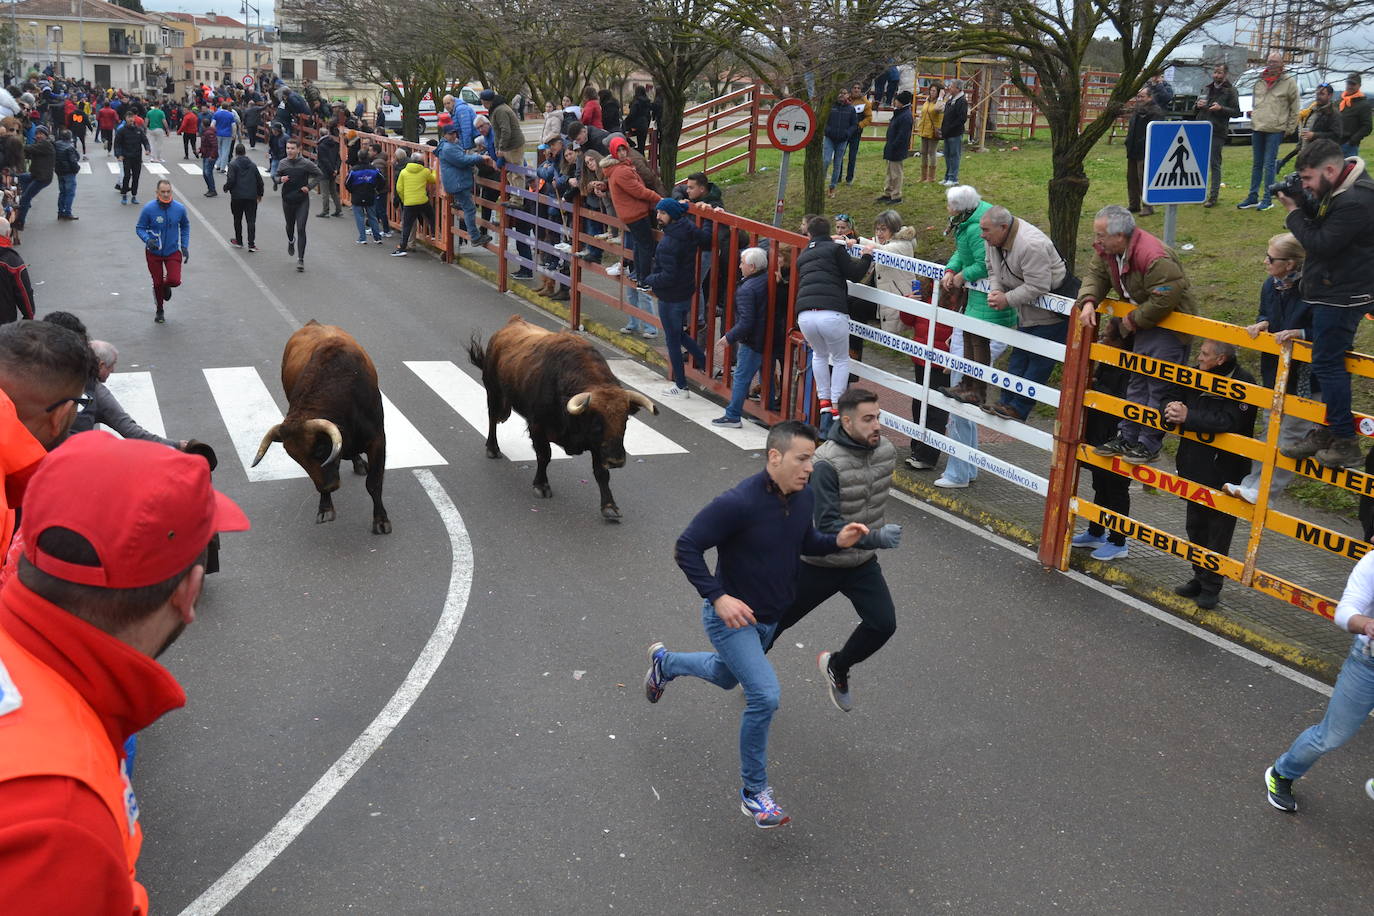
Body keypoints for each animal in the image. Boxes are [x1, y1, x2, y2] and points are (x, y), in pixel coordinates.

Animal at [252, 322, 390, 538]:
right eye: (295, 458)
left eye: (319, 450)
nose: (329, 486)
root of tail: (313, 323)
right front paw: (325, 508)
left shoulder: (378, 440)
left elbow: (374, 483)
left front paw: (381, 520)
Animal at [469, 315, 656, 519]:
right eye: (597, 423)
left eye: (625, 421)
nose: (617, 461)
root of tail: (512, 323)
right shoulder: (537, 427)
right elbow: (544, 456)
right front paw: (541, 486)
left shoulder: (597, 445)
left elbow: (601, 473)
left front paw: (609, 506)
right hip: (493, 391)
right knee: (492, 419)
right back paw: (492, 449)